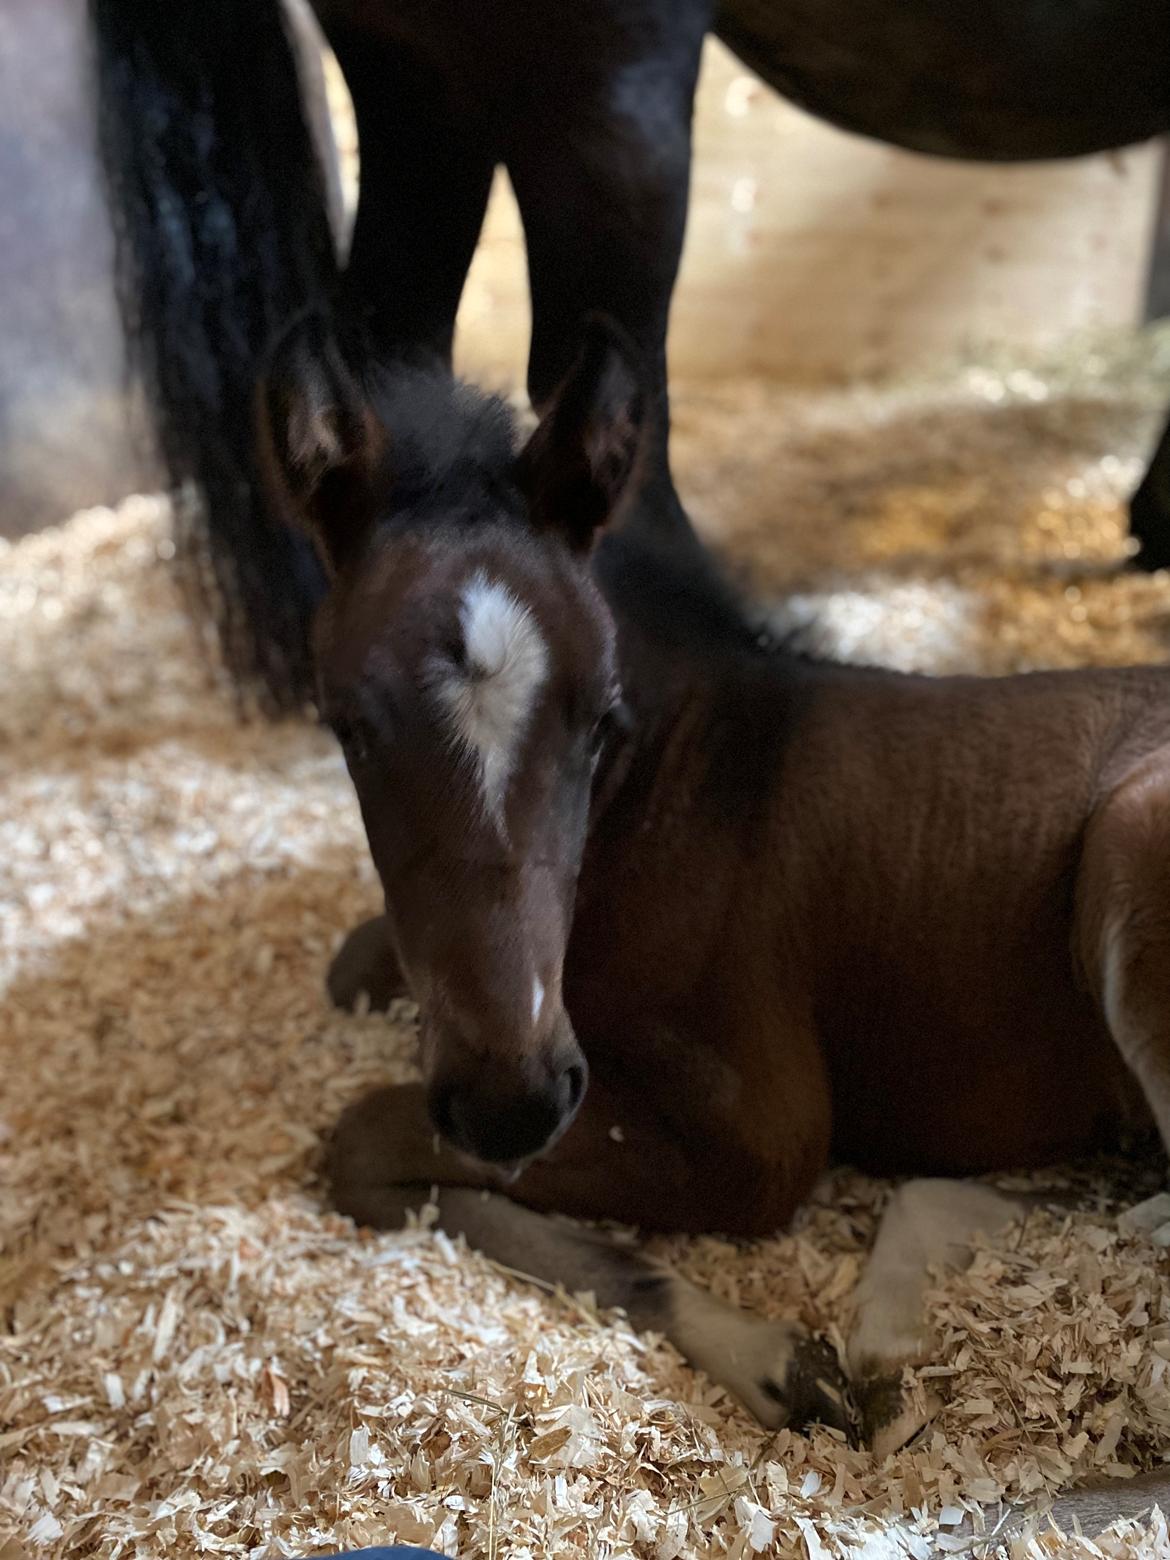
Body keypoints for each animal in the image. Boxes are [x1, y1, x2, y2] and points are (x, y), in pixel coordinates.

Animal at [255, 312, 1170, 1506]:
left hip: (1133, 838)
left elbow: (363, 1139)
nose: (510, 1105)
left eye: (602, 719)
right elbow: (359, 969)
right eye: (349, 725)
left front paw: (766, 1355)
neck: (677, 788)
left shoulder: (756, 1135)